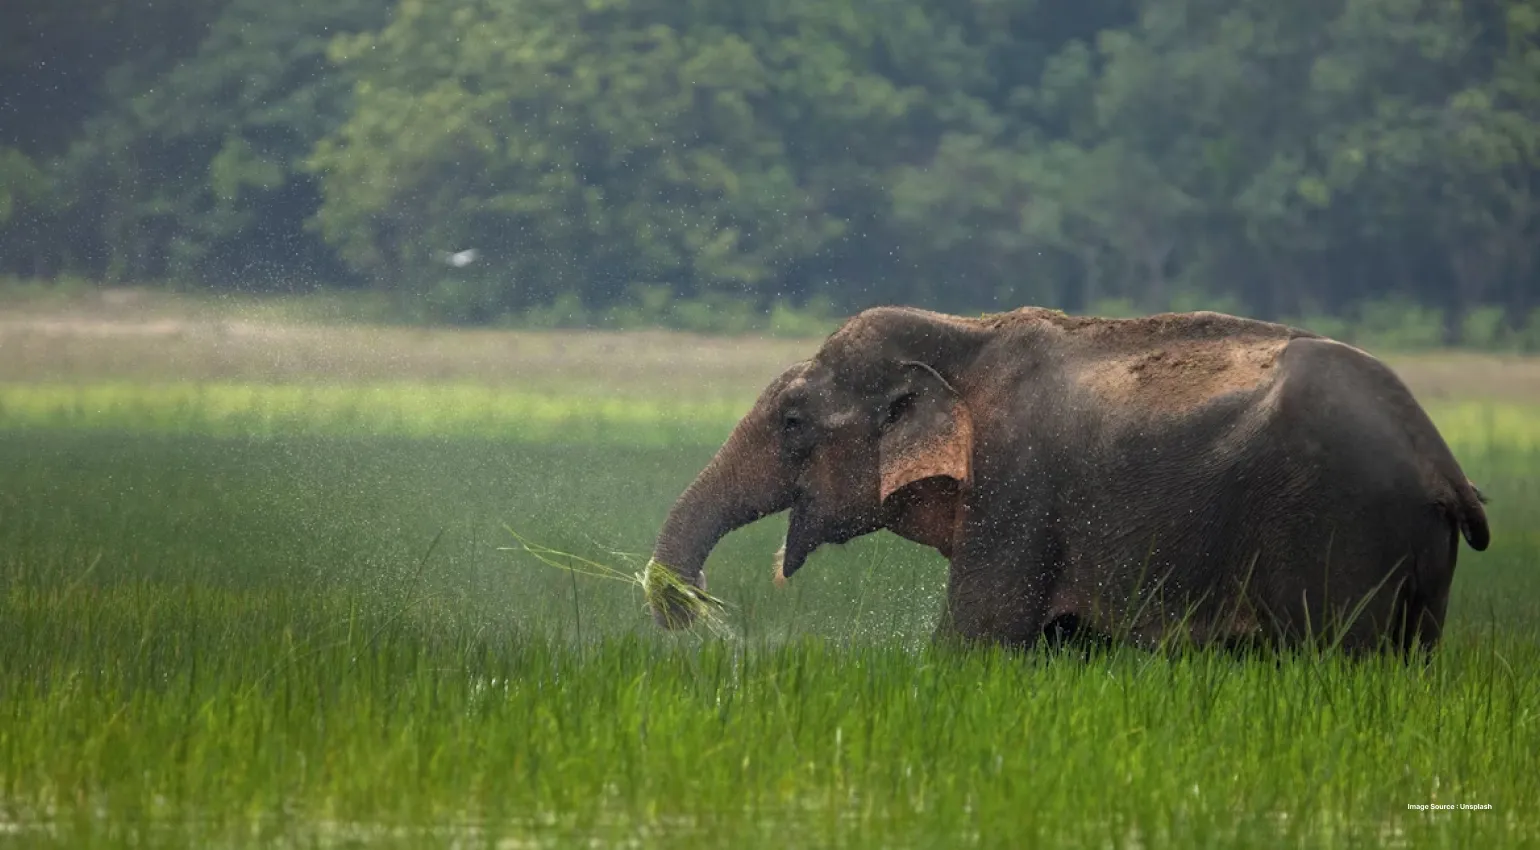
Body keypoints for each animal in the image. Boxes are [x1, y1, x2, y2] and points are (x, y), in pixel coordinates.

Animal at [646, 305, 1491, 655]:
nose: (686, 607)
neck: (966, 332)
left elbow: (977, 638)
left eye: (792, 422)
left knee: (1336, 656)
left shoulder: (1018, 489)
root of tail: (1441, 462)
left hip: (1342, 531)